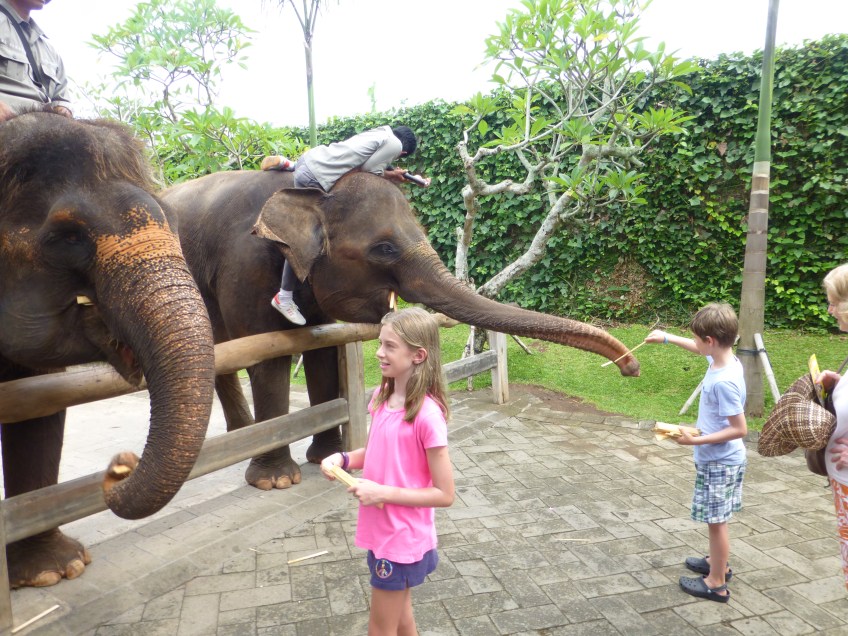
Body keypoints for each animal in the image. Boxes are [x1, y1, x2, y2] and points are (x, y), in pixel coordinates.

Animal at [159, 169, 639, 491]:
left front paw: (325, 458)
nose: (630, 367)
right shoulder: (248, 265)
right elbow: (270, 355)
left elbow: (321, 349)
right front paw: (277, 481)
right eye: (385, 249)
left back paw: (236, 439)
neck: (307, 194)